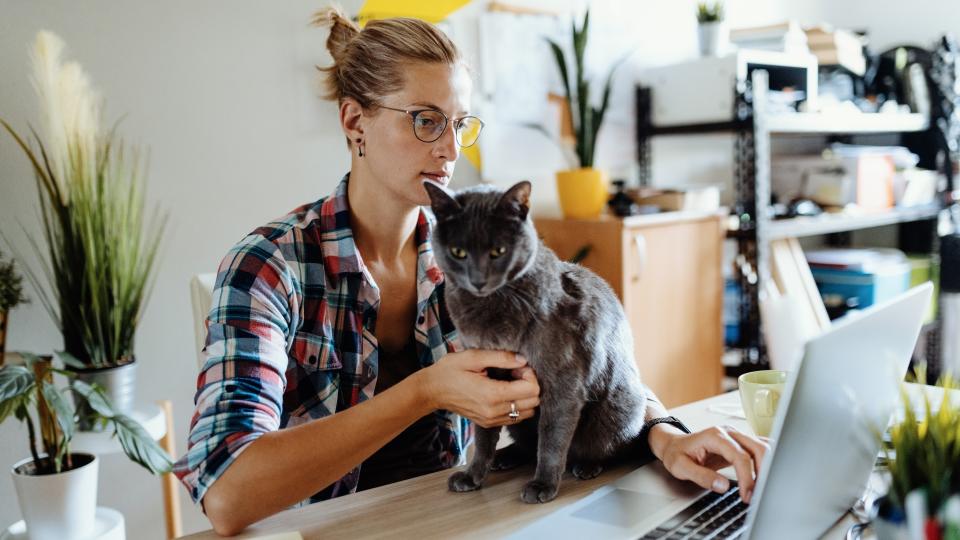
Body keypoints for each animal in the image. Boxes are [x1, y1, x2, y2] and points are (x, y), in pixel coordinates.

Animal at [424, 181, 648, 506]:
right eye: (458, 252)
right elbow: (484, 433)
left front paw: (543, 484)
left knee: (610, 447)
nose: (478, 280)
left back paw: (587, 464)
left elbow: (552, 438)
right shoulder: (485, 379)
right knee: (527, 444)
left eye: (498, 251)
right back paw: (504, 457)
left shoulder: (563, 382)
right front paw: (473, 475)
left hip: (618, 406)